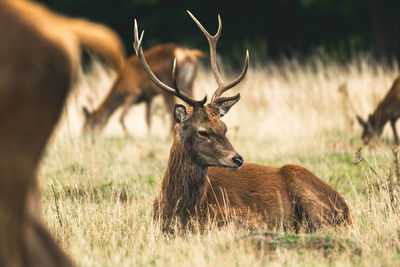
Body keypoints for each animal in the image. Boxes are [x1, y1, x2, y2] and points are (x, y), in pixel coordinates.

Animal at [134, 11, 350, 233]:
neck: (179, 213)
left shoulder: (248, 217)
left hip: (306, 190)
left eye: (224, 128)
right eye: (203, 131)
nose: (238, 159)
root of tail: (346, 208)